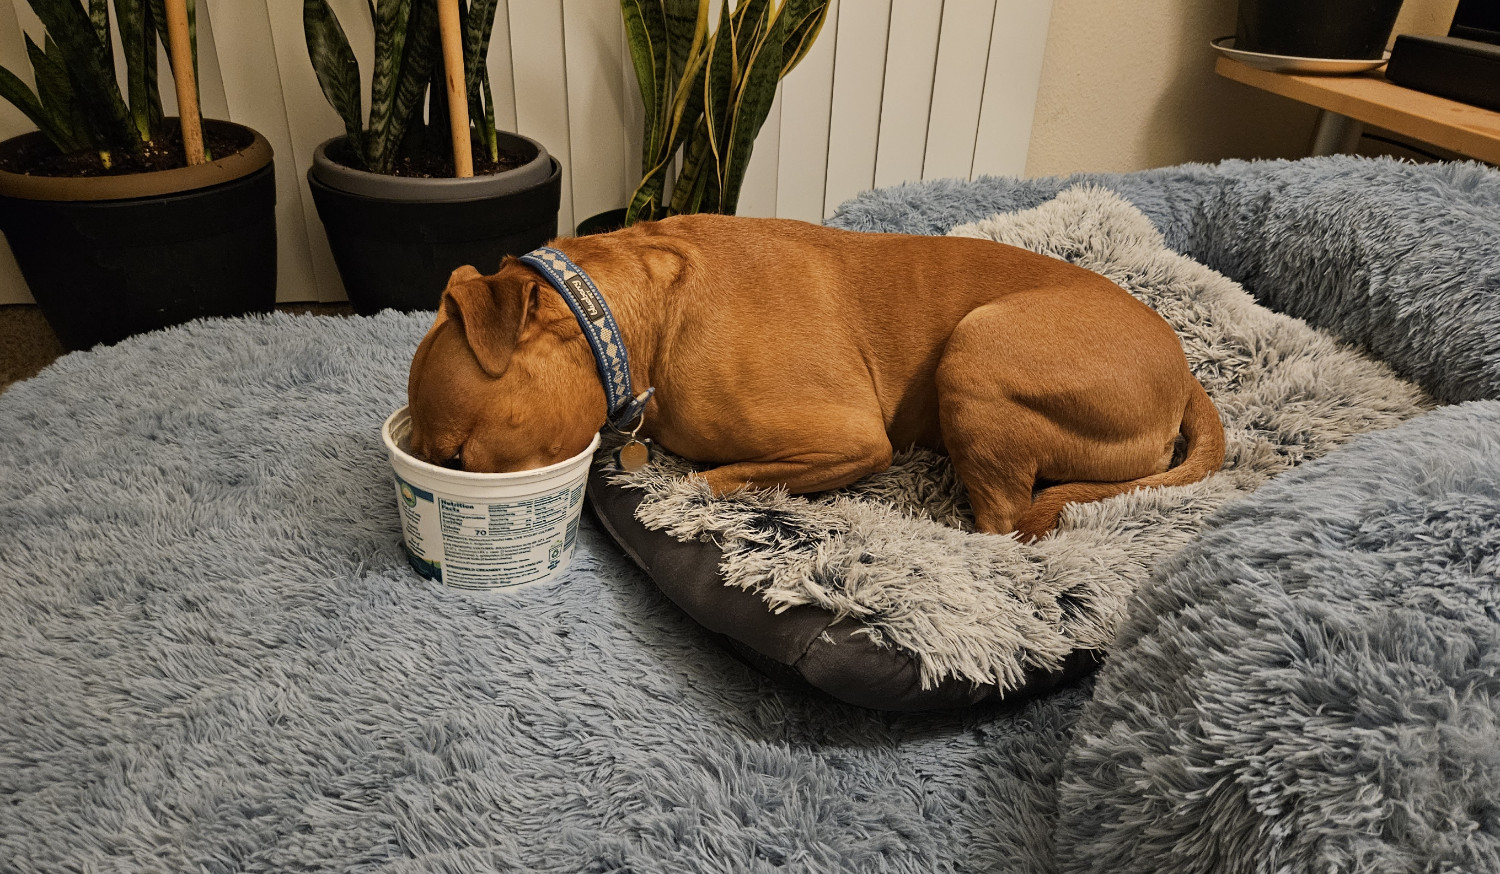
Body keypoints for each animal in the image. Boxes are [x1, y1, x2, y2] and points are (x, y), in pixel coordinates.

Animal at [405, 214, 1224, 539]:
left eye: (457, 457)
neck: (641, 318)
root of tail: (1188, 378)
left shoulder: (849, 442)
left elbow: (709, 478)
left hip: (978, 349)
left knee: (1003, 527)